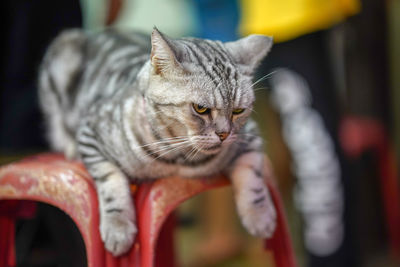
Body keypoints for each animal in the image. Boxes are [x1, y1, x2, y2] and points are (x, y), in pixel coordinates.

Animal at [38, 27, 276, 258]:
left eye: (238, 111)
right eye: (200, 108)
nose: (224, 134)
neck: (180, 157)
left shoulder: (250, 136)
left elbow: (253, 177)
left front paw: (261, 217)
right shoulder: (91, 131)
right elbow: (110, 181)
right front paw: (118, 227)